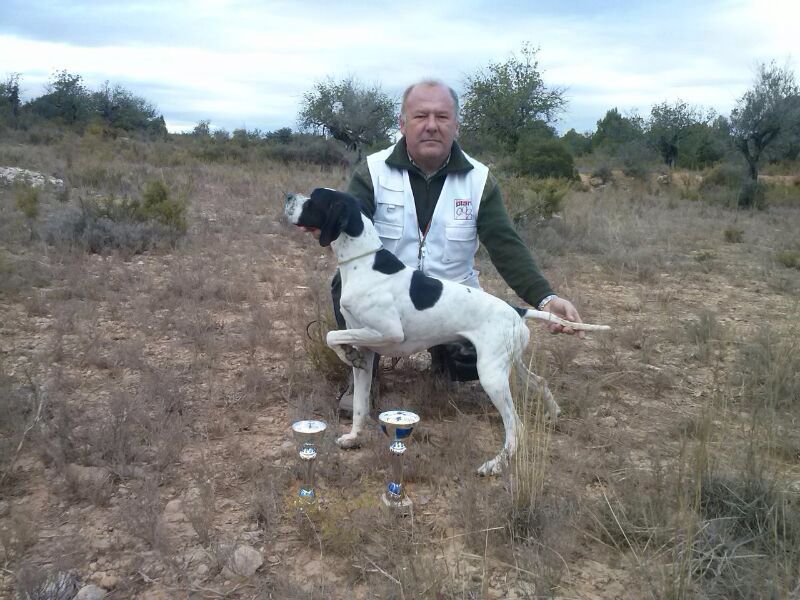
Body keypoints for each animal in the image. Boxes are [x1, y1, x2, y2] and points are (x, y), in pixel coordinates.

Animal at [284, 188, 608, 474]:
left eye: (314, 198)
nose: (288, 196)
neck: (363, 263)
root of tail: (516, 310)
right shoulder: (367, 350)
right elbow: (361, 405)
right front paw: (354, 437)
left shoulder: (390, 334)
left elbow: (331, 336)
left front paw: (343, 353)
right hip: (510, 364)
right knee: (539, 382)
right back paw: (552, 414)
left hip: (491, 375)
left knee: (515, 425)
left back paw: (496, 464)